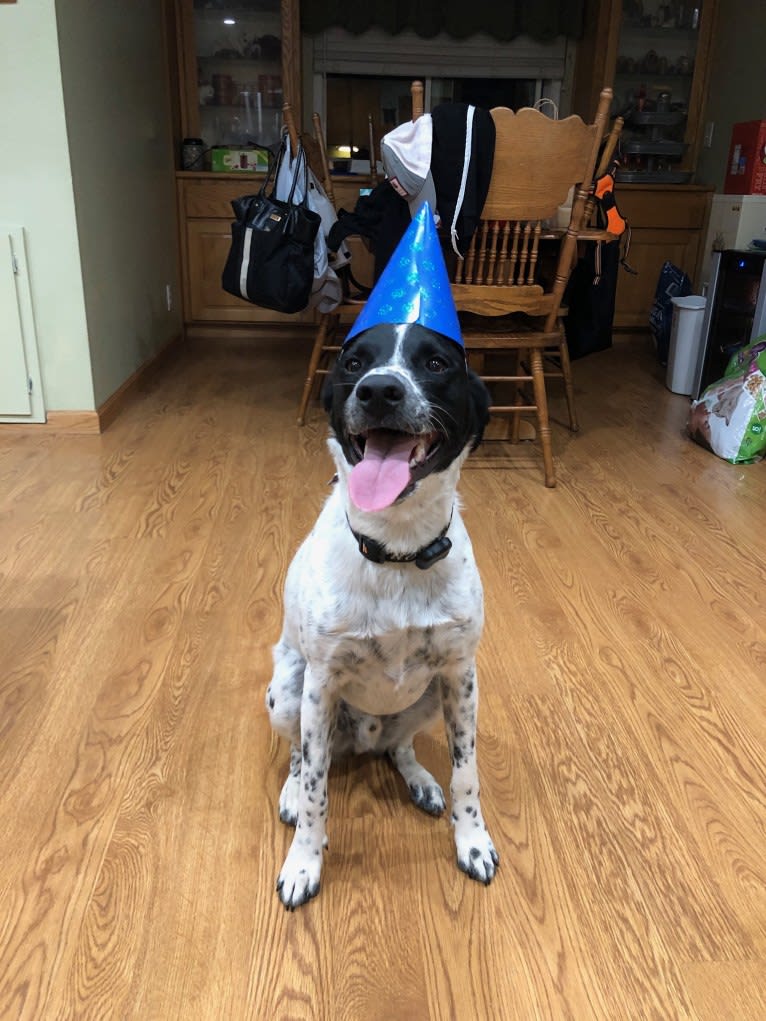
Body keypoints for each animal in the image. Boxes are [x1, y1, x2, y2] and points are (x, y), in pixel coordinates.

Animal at [267, 318, 498, 910]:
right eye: (353, 363)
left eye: (437, 363)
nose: (378, 391)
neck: (396, 551)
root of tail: (361, 738)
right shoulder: (321, 683)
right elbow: (316, 792)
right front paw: (303, 863)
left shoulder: (461, 675)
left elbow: (468, 773)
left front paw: (472, 842)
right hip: (289, 691)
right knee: (300, 756)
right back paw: (289, 790)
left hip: (428, 698)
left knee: (398, 746)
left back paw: (420, 779)